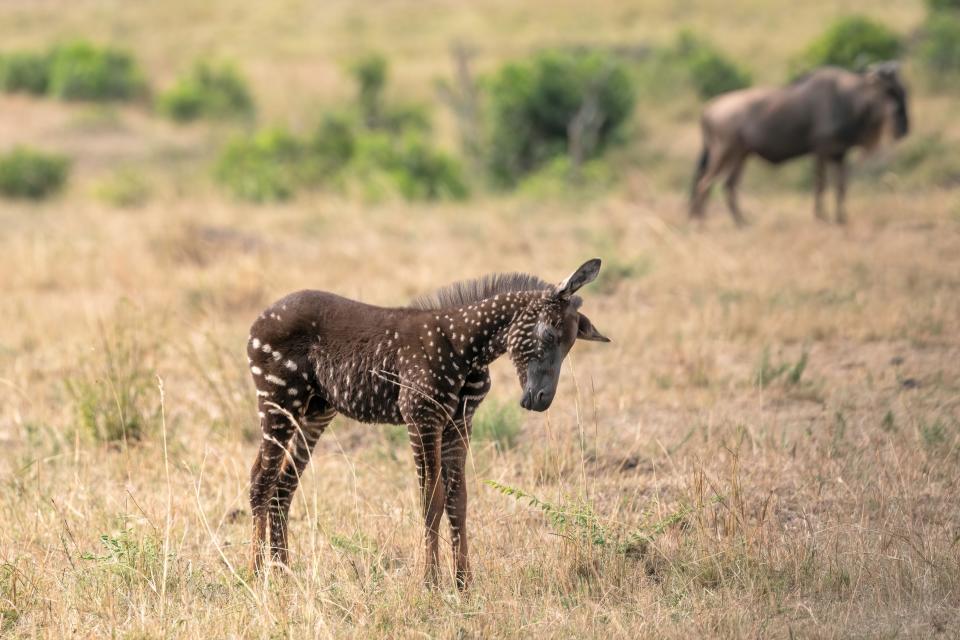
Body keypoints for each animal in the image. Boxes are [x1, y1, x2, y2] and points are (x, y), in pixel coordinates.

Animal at [246, 258, 608, 588]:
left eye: (571, 345)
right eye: (547, 334)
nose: (540, 400)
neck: (466, 348)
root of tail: (258, 321)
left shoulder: (459, 424)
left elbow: (458, 501)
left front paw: (464, 584)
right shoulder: (421, 419)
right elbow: (431, 502)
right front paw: (431, 582)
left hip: (314, 412)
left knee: (282, 485)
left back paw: (283, 572)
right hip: (277, 401)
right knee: (261, 481)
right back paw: (256, 573)